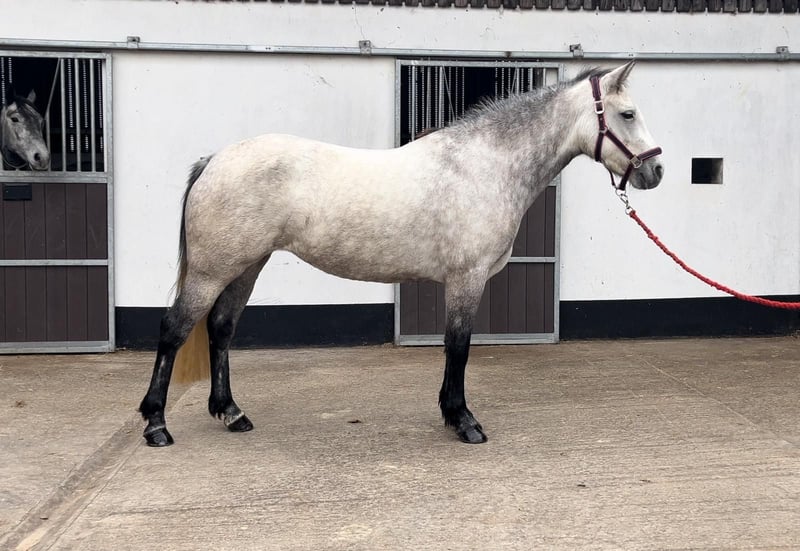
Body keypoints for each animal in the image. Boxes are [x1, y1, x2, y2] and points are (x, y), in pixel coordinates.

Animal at [139, 61, 664, 447]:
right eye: (628, 114)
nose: (655, 171)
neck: (485, 166)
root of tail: (215, 160)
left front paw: (453, 415)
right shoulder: (467, 278)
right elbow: (458, 346)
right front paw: (463, 421)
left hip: (246, 266)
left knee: (221, 328)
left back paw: (231, 413)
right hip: (212, 270)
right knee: (174, 329)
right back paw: (156, 424)